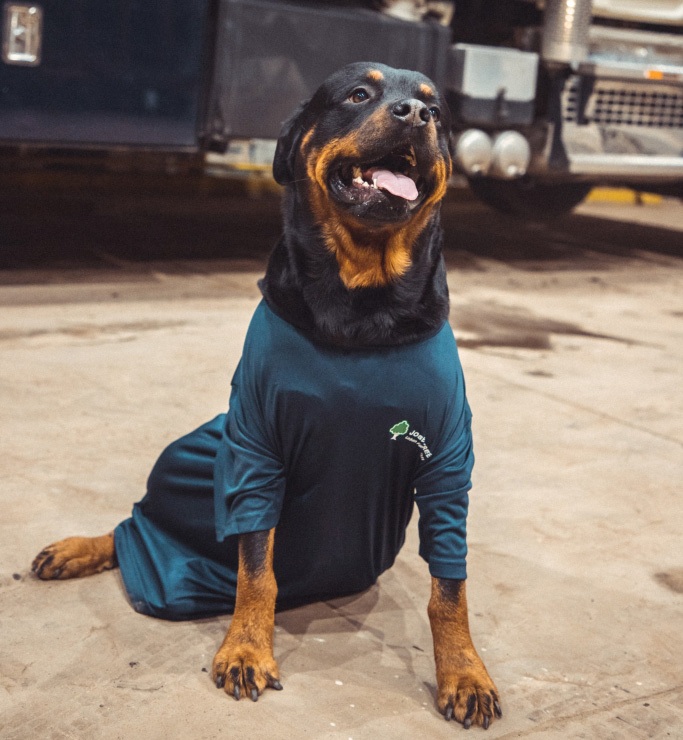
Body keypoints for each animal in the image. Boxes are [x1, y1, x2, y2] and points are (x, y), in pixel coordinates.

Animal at [32, 62, 502, 728]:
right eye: (359, 94)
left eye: (437, 110)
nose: (415, 115)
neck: (362, 301)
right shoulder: (254, 443)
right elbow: (256, 567)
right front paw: (248, 647)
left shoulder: (447, 460)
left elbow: (450, 585)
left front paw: (464, 670)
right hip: (189, 452)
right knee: (135, 523)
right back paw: (80, 549)